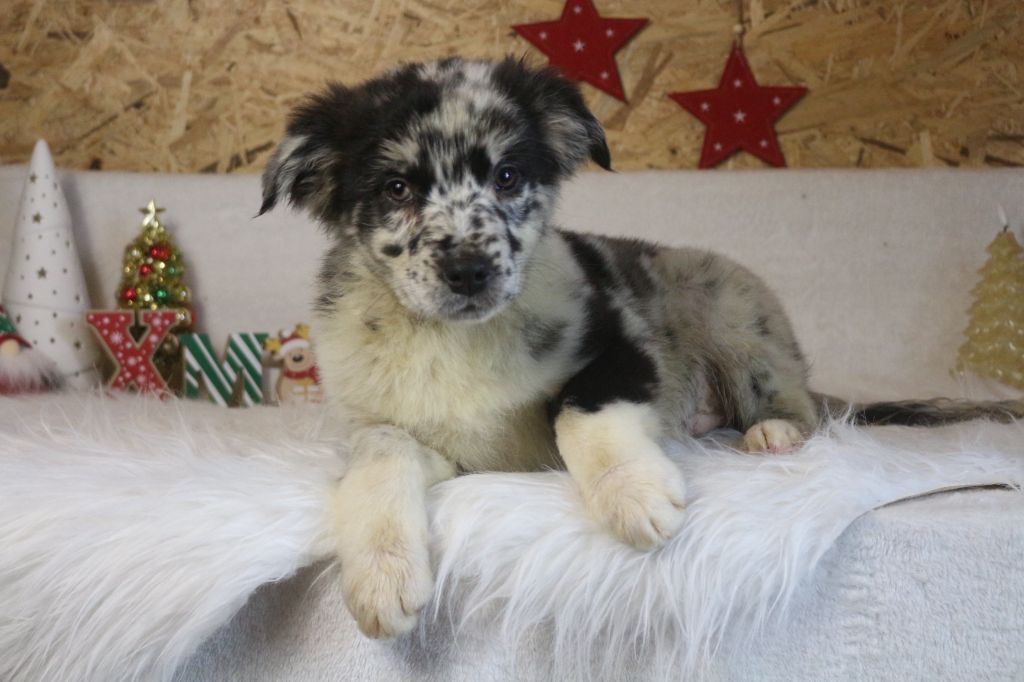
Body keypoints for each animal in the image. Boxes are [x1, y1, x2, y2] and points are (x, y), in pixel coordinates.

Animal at [259, 56, 1023, 639]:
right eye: (396, 188)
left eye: (508, 177)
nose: (469, 271)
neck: (459, 339)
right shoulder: (404, 431)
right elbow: (378, 459)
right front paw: (382, 576)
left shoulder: (621, 348)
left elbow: (577, 408)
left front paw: (633, 493)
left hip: (736, 315)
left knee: (800, 402)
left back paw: (773, 432)